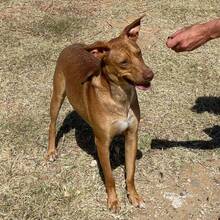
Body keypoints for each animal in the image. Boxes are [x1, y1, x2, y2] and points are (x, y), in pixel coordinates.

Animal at [46, 16, 153, 211]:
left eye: (139, 53)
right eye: (123, 62)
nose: (151, 75)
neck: (119, 96)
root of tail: (73, 45)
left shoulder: (132, 135)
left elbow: (130, 173)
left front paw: (134, 196)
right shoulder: (102, 143)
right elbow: (110, 177)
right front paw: (113, 201)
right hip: (57, 95)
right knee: (52, 124)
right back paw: (51, 151)